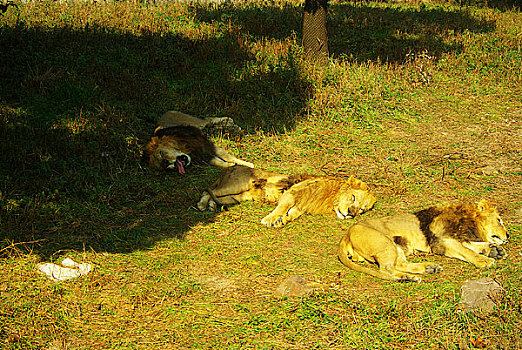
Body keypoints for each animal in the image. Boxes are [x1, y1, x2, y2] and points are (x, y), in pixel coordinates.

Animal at [196, 165, 374, 227]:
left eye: (361, 210)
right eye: (353, 198)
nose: (351, 213)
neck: (329, 198)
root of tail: (230, 167)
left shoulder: (301, 206)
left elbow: (292, 214)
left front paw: (282, 221)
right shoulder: (291, 193)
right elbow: (282, 208)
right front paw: (269, 219)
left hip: (236, 197)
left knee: (214, 195)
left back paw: (212, 205)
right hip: (235, 186)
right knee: (207, 190)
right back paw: (202, 204)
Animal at [338, 200, 508, 282]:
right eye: (499, 220)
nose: (507, 235)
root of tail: (346, 234)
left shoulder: (454, 237)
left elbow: (471, 245)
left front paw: (494, 250)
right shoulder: (439, 240)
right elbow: (466, 250)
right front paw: (485, 260)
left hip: (396, 247)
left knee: (399, 264)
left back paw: (425, 270)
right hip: (385, 243)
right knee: (386, 269)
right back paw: (409, 277)